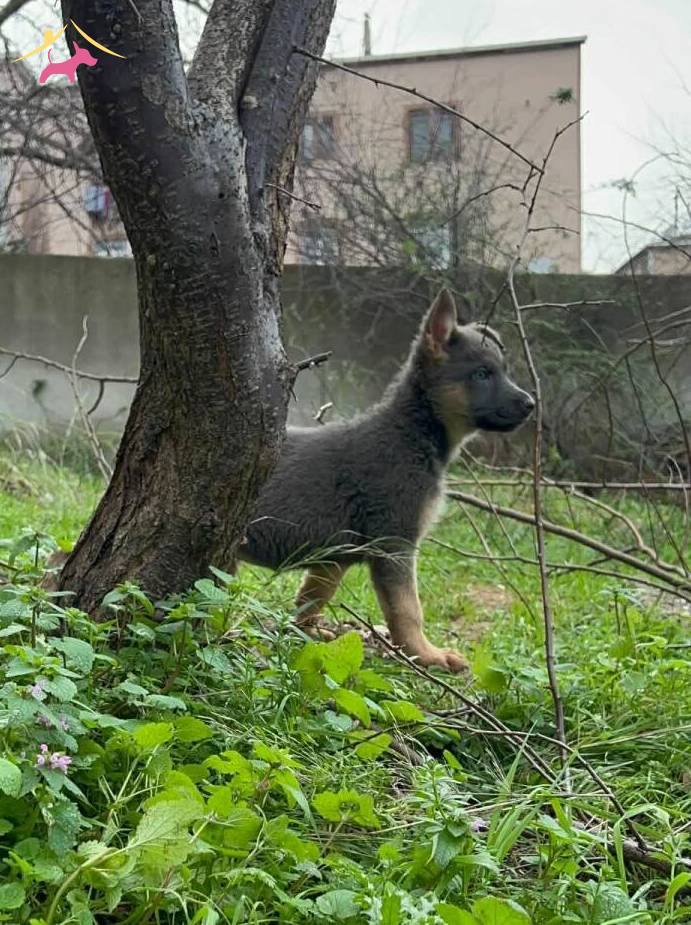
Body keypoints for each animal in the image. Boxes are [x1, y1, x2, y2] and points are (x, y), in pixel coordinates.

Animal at [240, 289, 534, 672]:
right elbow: (408, 610)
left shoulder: (334, 557)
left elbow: (312, 597)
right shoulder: (395, 544)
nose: (531, 404)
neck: (412, 432)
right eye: (483, 373)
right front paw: (426, 655)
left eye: (503, 371)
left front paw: (306, 633)